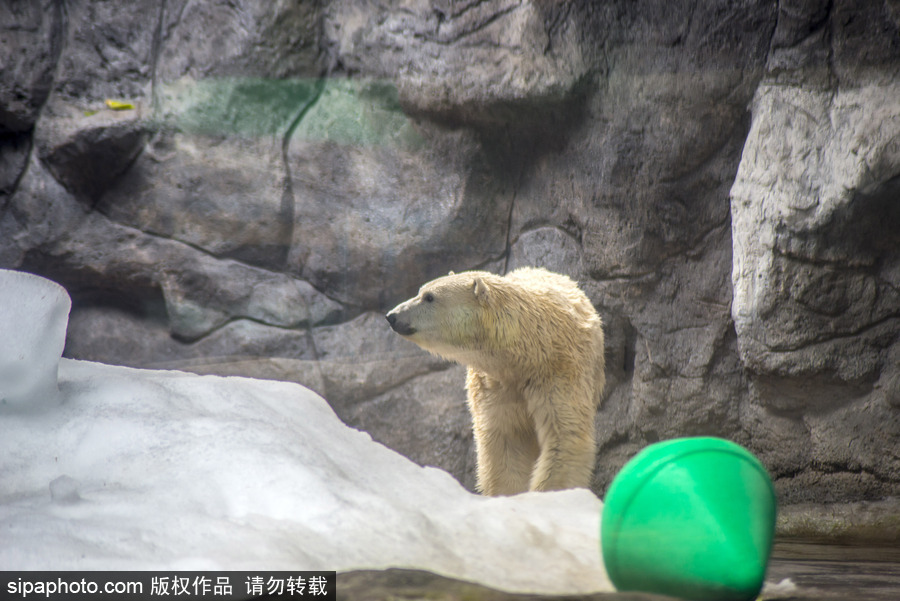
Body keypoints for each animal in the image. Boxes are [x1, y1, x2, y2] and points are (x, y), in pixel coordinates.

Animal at [384, 270, 604, 494]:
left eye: (429, 297)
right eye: (421, 291)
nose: (392, 316)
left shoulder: (559, 373)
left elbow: (565, 435)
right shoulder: (494, 384)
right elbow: (506, 442)